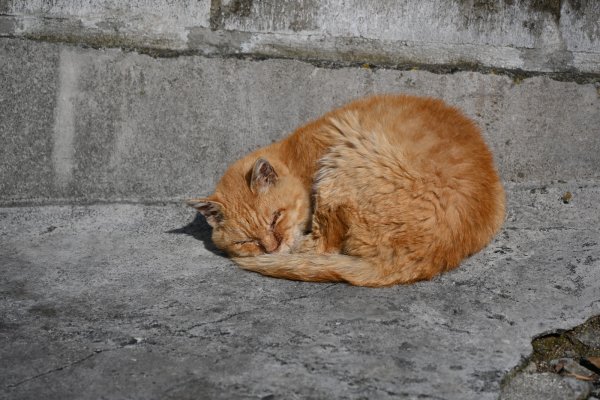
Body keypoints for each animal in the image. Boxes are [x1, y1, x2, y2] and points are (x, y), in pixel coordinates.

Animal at [186, 94, 502, 288]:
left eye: (276, 218)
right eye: (246, 241)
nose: (272, 247)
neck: (297, 157)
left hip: (342, 160)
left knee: (324, 246)